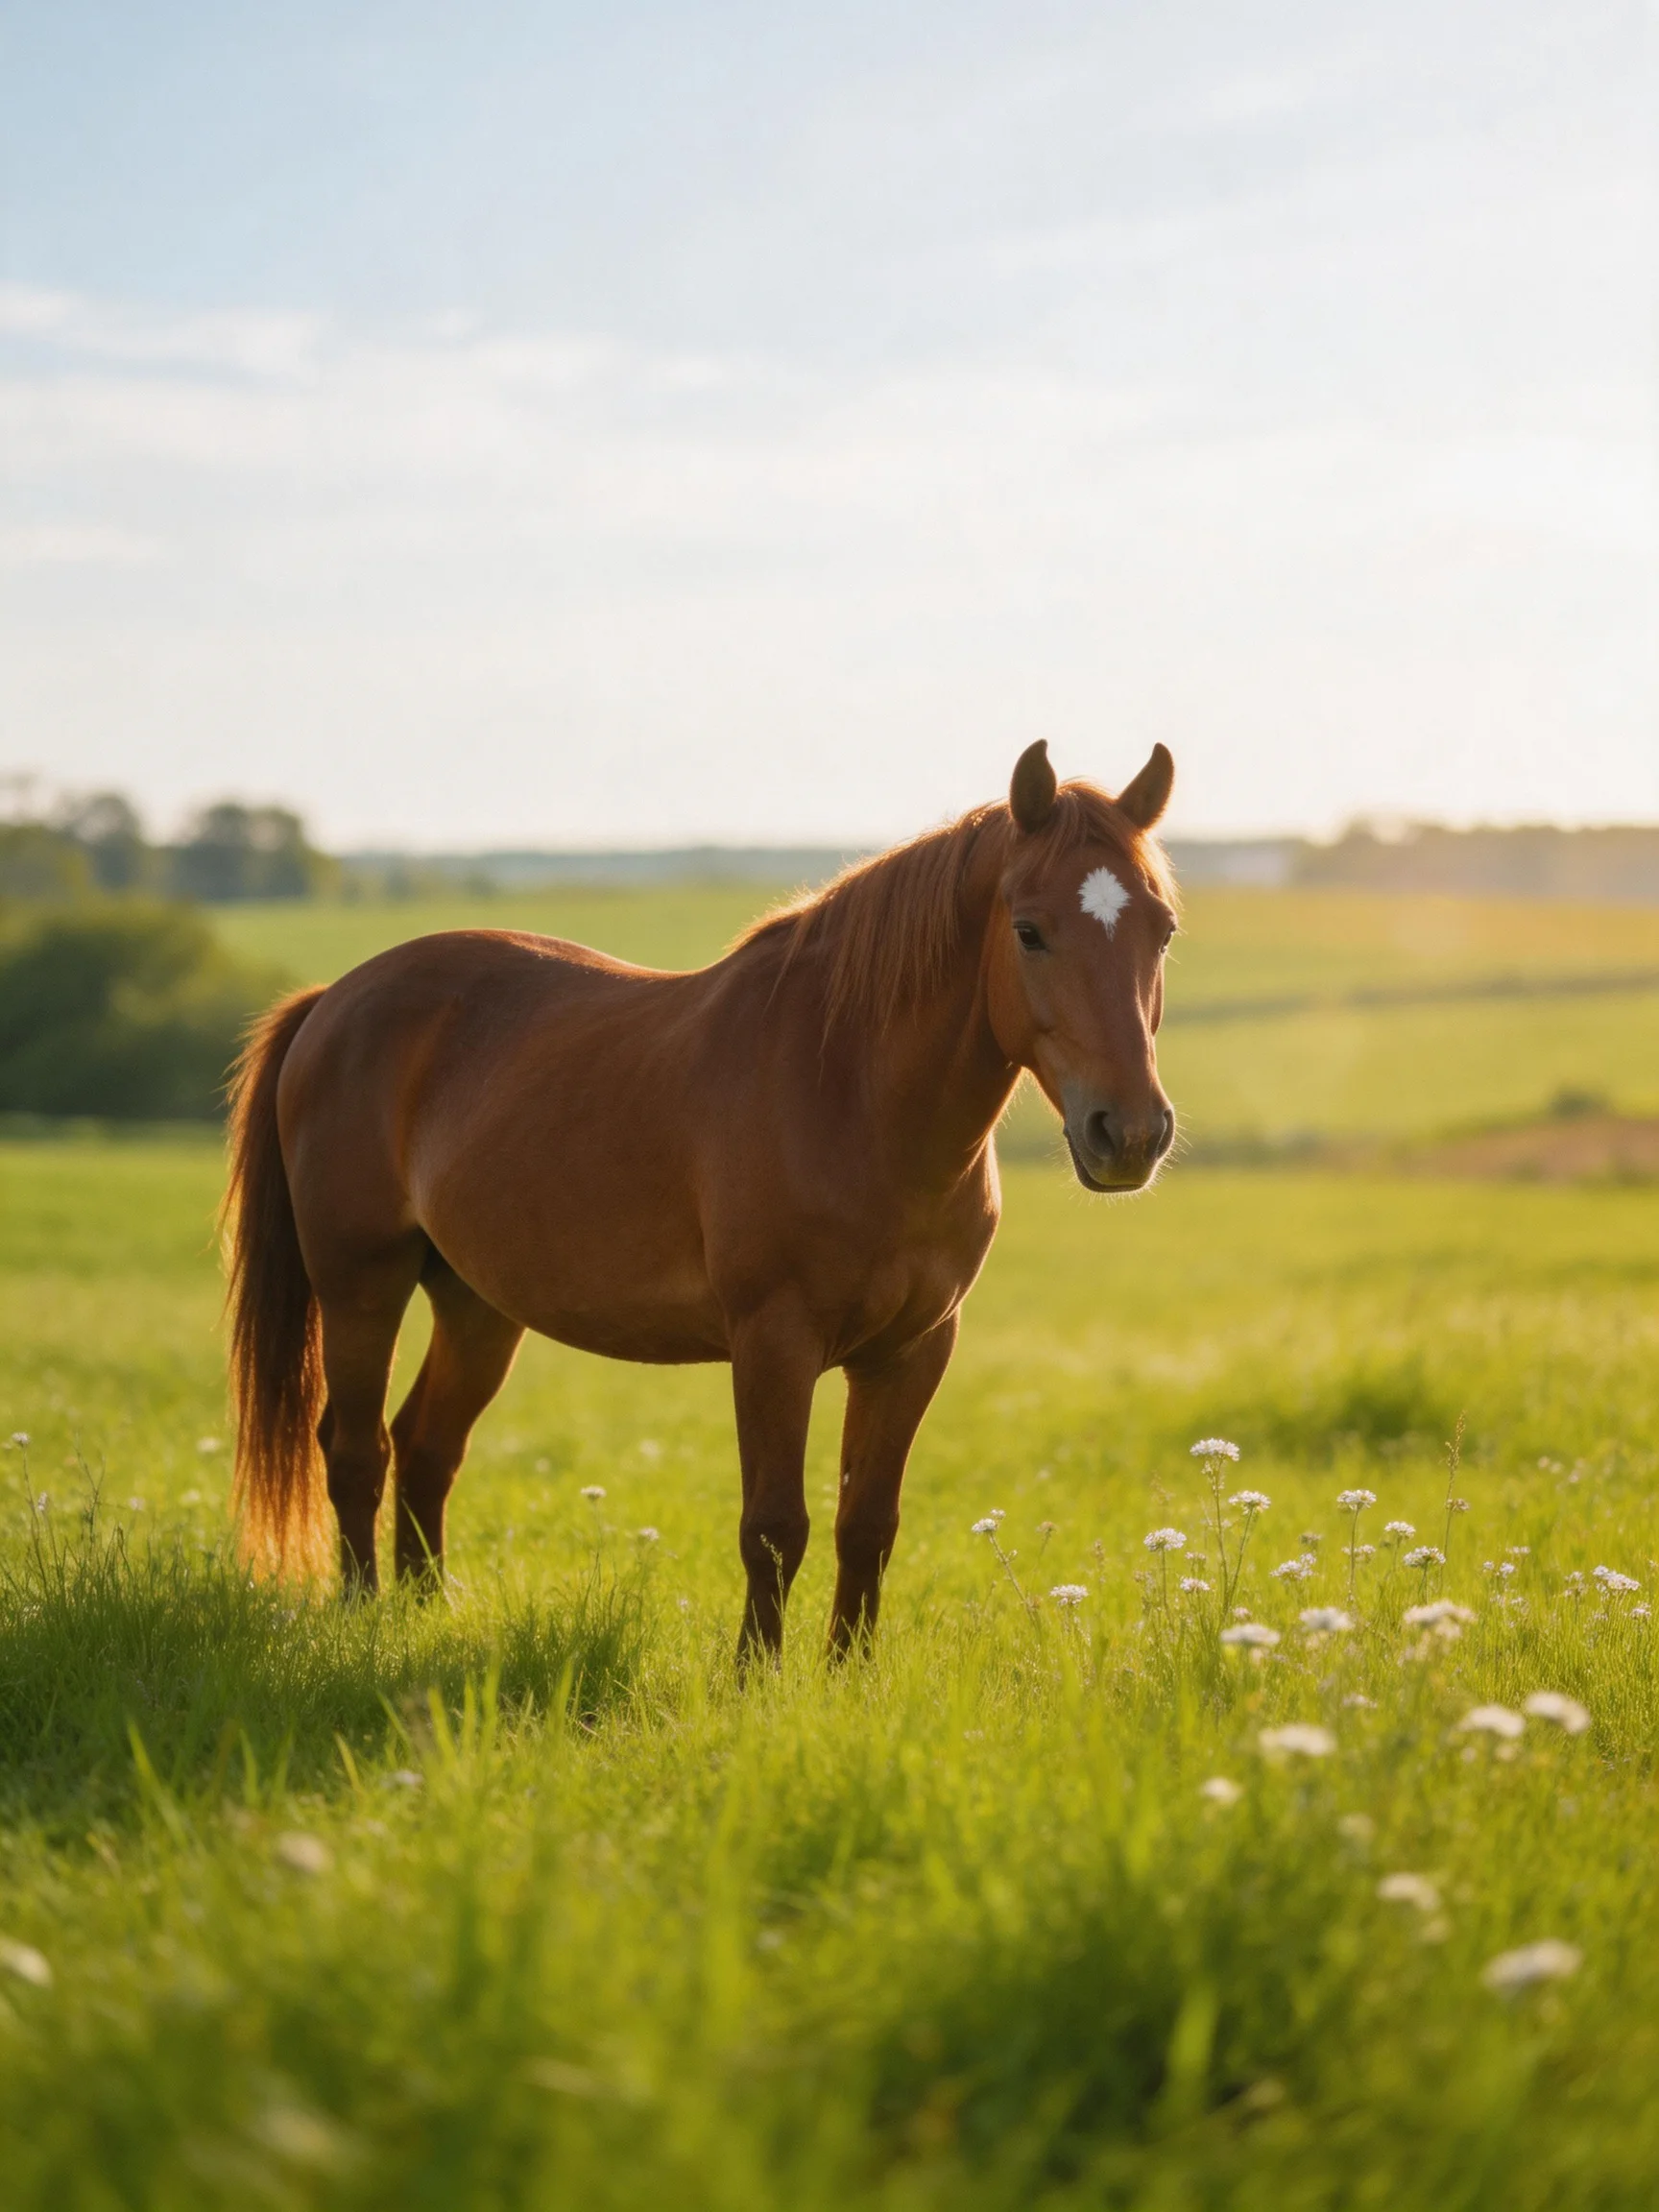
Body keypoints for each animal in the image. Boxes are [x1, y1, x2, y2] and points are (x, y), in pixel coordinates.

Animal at [223, 740, 1178, 1658]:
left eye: (1163, 929)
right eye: (1029, 931)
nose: (1129, 1133)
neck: (849, 1093)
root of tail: (334, 1000)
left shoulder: (912, 1351)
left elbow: (867, 1526)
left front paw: (849, 1674)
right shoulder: (772, 1342)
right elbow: (774, 1528)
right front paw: (757, 1677)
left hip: (476, 1303)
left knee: (427, 1446)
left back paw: (425, 1613)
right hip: (361, 1285)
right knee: (356, 1449)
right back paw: (362, 1617)